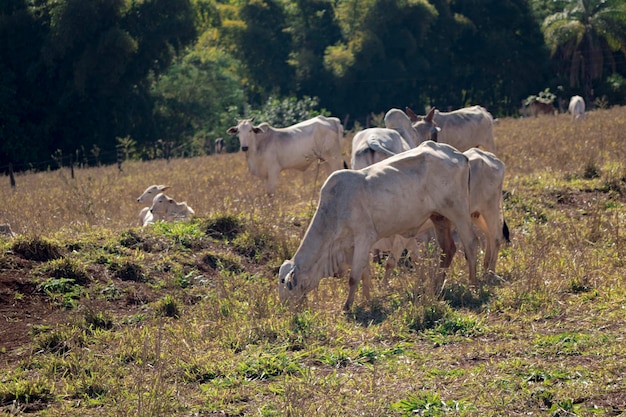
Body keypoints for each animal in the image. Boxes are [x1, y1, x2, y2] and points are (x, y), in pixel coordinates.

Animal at [278, 141, 478, 310]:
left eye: (285, 283)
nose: (284, 308)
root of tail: (459, 155)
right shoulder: (354, 246)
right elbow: (364, 274)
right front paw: (367, 299)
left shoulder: (363, 238)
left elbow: (354, 277)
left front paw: (347, 306)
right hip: (439, 217)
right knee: (448, 249)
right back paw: (437, 285)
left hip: (458, 212)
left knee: (470, 244)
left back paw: (473, 285)